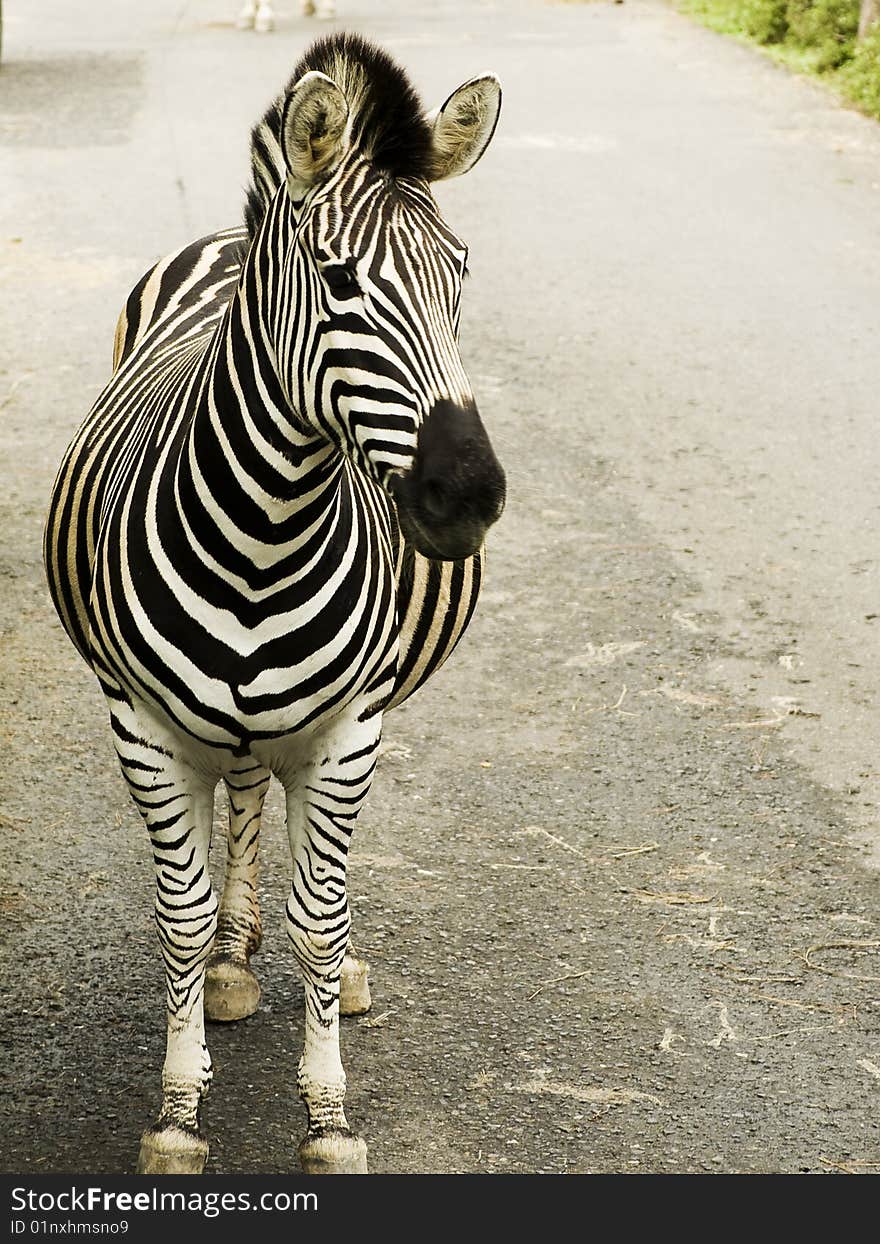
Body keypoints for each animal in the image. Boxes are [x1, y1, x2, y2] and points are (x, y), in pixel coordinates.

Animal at [42, 31, 502, 1174]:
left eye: (462, 275)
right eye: (338, 281)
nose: (468, 496)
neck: (265, 538)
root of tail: (230, 229)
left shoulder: (350, 728)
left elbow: (322, 918)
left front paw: (330, 1116)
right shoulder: (139, 722)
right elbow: (178, 906)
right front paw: (176, 1112)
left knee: (291, 842)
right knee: (241, 803)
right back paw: (229, 959)